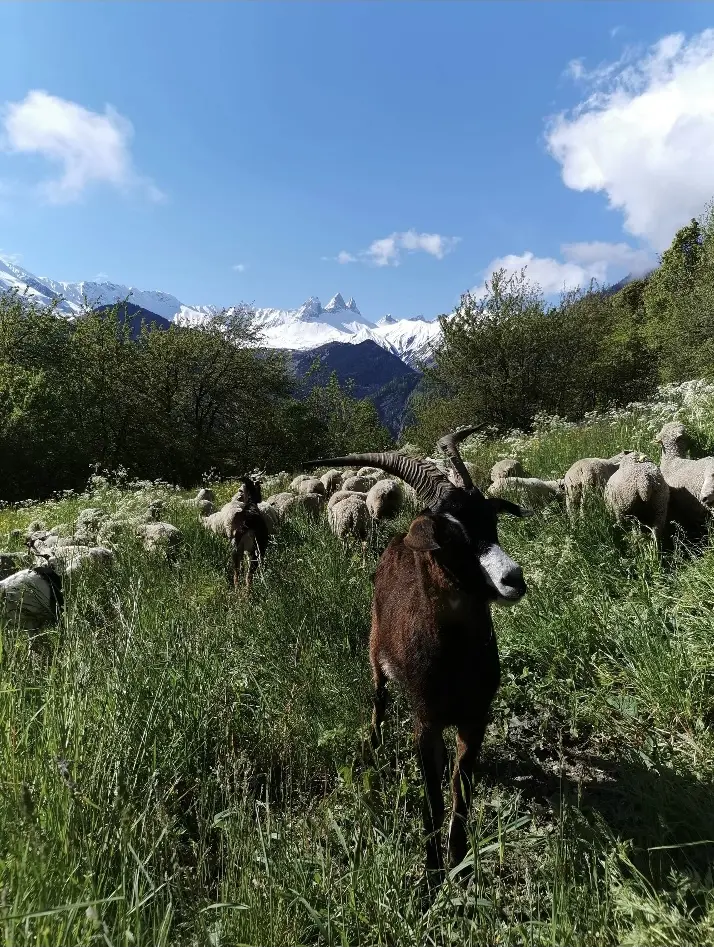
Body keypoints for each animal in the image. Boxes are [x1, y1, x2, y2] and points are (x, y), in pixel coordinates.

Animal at [305, 429, 529, 881]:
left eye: (492, 521)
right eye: (449, 536)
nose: (512, 580)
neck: (455, 658)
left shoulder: (475, 717)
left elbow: (461, 795)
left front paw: (458, 863)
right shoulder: (426, 722)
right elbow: (433, 799)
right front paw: (432, 873)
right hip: (375, 650)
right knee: (378, 697)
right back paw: (373, 747)